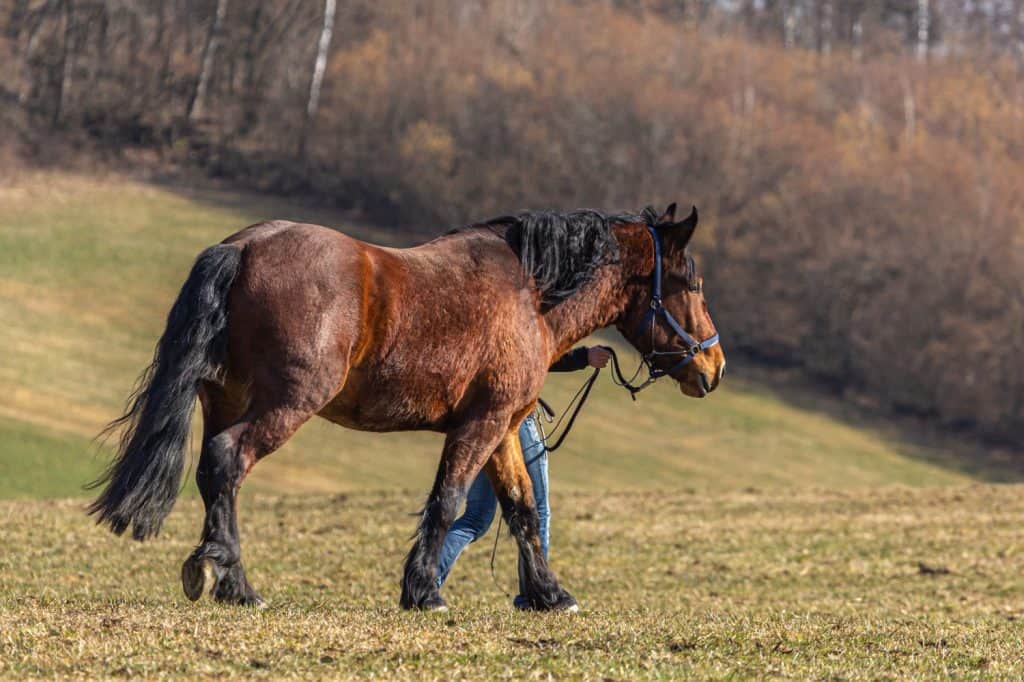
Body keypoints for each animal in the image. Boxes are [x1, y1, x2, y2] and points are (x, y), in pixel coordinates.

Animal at [88, 202, 725, 611]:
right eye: (691, 284)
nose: (714, 369)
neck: (530, 295)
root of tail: (242, 247)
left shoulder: (501, 430)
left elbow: (521, 508)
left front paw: (548, 594)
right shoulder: (480, 425)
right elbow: (446, 502)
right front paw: (423, 591)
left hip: (226, 397)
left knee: (212, 471)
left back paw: (220, 572)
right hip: (285, 405)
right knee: (227, 460)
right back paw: (235, 582)